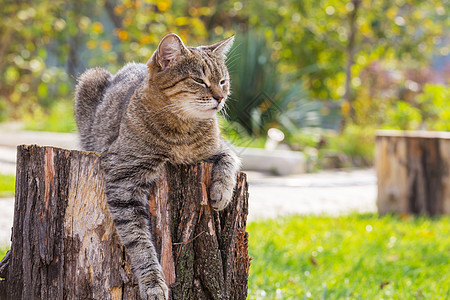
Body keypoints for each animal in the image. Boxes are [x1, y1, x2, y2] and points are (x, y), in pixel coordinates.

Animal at [74, 34, 239, 298]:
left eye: (222, 81)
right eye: (199, 80)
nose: (220, 97)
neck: (183, 131)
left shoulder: (218, 148)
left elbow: (230, 160)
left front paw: (221, 192)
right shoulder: (123, 179)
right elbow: (139, 240)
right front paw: (153, 283)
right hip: (90, 78)